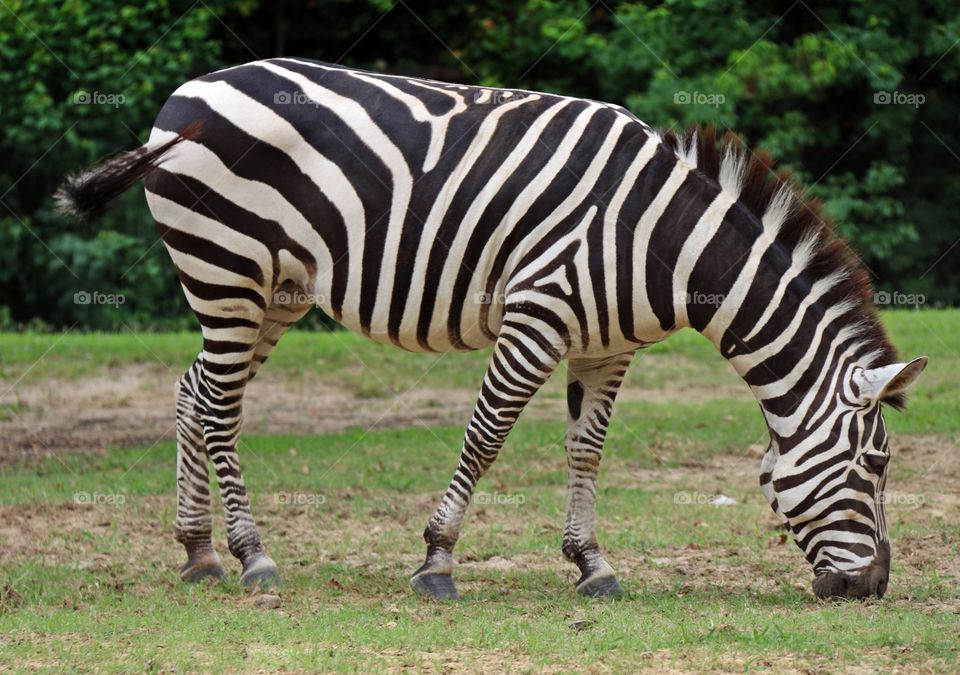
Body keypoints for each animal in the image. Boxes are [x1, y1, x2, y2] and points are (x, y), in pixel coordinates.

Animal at [56, 57, 927, 601]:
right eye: (877, 463)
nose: (873, 587)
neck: (662, 241)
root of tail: (185, 94)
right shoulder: (536, 315)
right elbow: (486, 435)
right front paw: (438, 560)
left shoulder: (608, 348)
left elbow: (586, 449)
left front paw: (591, 563)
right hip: (227, 268)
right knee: (220, 408)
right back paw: (250, 554)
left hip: (270, 288)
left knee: (193, 391)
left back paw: (197, 549)